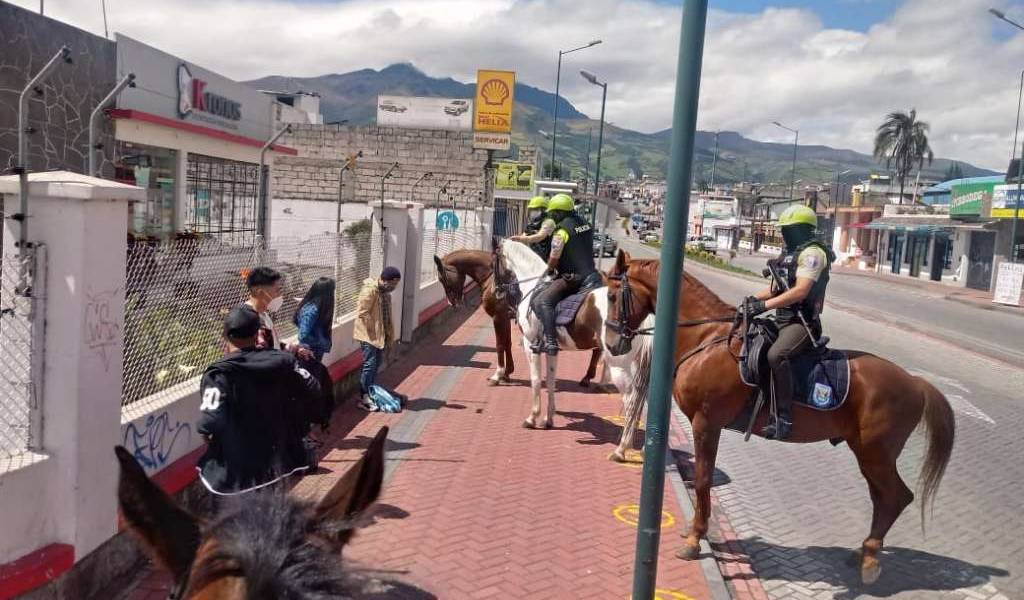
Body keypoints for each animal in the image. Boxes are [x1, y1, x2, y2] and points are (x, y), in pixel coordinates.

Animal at [436, 248, 602, 384]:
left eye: (441, 278)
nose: (452, 303)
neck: (493, 279)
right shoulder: (504, 318)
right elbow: (507, 343)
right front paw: (507, 372)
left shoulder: (498, 317)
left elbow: (500, 344)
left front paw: (498, 374)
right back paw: (588, 377)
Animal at [497, 238, 655, 458]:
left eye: (494, 260)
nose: (496, 291)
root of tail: (644, 315)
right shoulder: (551, 350)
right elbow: (551, 380)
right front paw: (548, 419)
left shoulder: (531, 346)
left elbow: (536, 381)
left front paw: (532, 418)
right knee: (644, 399)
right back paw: (639, 446)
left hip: (620, 366)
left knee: (631, 399)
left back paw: (621, 449)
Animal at [602, 251, 954, 585]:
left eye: (613, 295)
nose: (612, 344)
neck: (707, 338)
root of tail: (915, 383)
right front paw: (694, 530)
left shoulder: (706, 424)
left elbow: (702, 478)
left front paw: (694, 538)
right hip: (869, 454)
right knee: (883, 499)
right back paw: (864, 552)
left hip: (875, 453)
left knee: (895, 497)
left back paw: (869, 559)